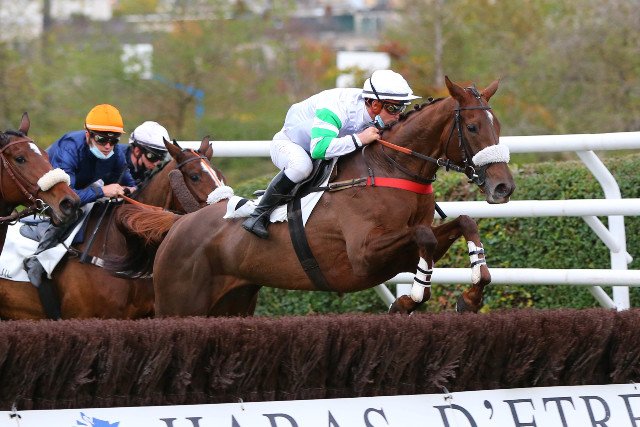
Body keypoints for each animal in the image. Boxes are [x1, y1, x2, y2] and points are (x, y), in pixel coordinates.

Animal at [115, 76, 515, 317]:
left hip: (233, 303)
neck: (392, 167)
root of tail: (177, 224)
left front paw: (472, 295)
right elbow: (424, 236)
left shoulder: (401, 252)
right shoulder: (363, 256)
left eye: (498, 126)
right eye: (473, 127)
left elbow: (462, 223)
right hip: (179, 304)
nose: (504, 187)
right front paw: (410, 298)